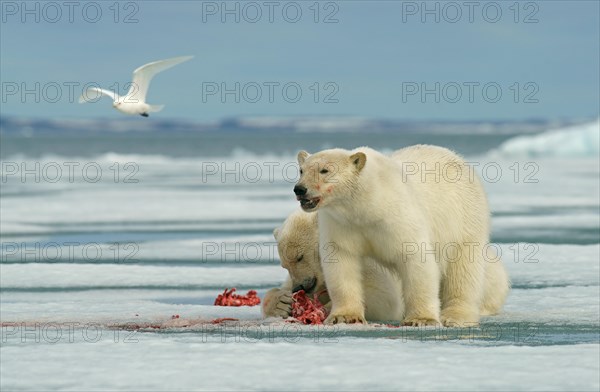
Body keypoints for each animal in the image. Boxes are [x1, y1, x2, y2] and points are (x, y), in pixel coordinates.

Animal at [262, 210, 404, 324]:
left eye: (299, 257)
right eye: (285, 266)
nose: (298, 287)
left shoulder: (366, 260)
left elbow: (383, 294)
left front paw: (325, 310)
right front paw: (281, 303)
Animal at [292, 145, 508, 326]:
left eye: (325, 170)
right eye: (302, 170)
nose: (299, 189)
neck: (367, 204)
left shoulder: (398, 215)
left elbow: (416, 259)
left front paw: (421, 319)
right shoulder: (341, 224)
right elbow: (342, 263)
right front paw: (344, 316)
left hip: (464, 217)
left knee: (463, 268)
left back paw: (456, 316)